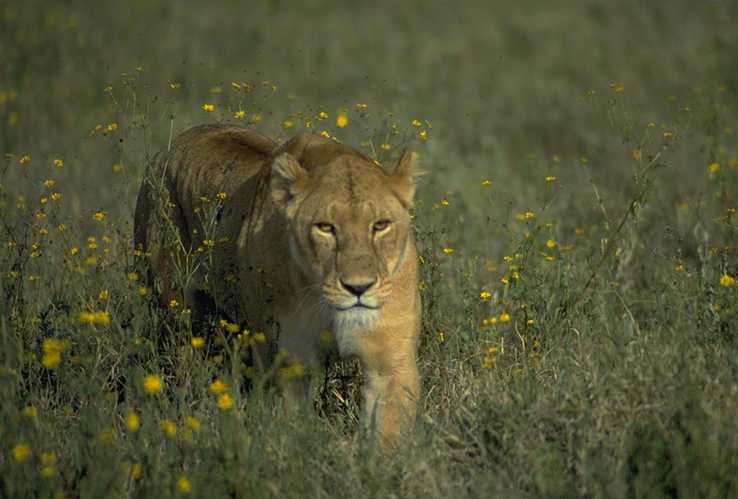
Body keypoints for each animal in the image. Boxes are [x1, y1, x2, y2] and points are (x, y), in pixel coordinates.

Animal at [134, 124, 421, 447]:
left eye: (380, 225)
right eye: (325, 227)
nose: (358, 288)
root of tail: (172, 145)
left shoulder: (390, 361)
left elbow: (387, 431)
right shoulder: (286, 358)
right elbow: (289, 423)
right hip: (175, 311)